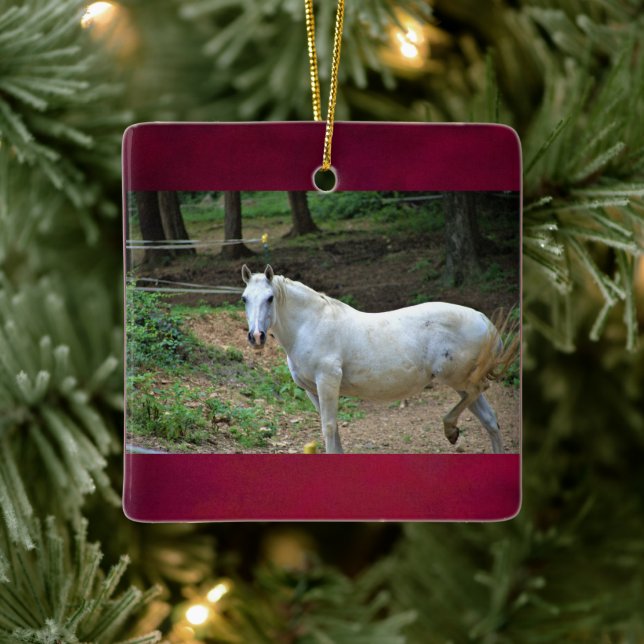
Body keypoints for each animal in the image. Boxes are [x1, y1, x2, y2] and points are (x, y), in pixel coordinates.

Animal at [241, 264, 518, 454]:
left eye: (270, 298)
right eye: (244, 298)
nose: (256, 337)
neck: (311, 324)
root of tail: (485, 320)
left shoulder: (328, 381)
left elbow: (328, 427)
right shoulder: (312, 389)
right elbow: (333, 429)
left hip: (457, 378)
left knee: (480, 391)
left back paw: (450, 429)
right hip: (460, 383)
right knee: (489, 419)